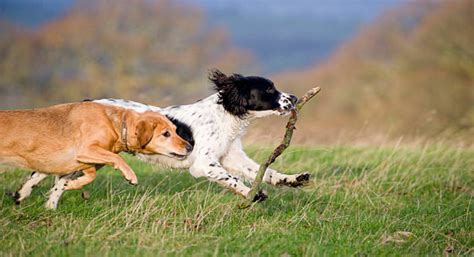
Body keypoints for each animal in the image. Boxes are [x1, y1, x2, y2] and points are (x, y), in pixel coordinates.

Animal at [1, 101, 193, 207]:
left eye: (175, 130)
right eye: (166, 134)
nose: (190, 147)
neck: (117, 125)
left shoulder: (69, 162)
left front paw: (66, 187)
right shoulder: (85, 150)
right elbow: (116, 158)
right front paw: (130, 176)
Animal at [14, 69, 310, 203]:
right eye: (269, 90)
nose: (295, 98)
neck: (225, 114)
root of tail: (84, 103)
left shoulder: (231, 156)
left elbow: (265, 171)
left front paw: (293, 179)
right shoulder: (205, 163)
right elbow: (233, 179)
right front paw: (253, 194)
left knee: (54, 177)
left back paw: (34, 200)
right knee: (45, 173)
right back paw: (25, 196)